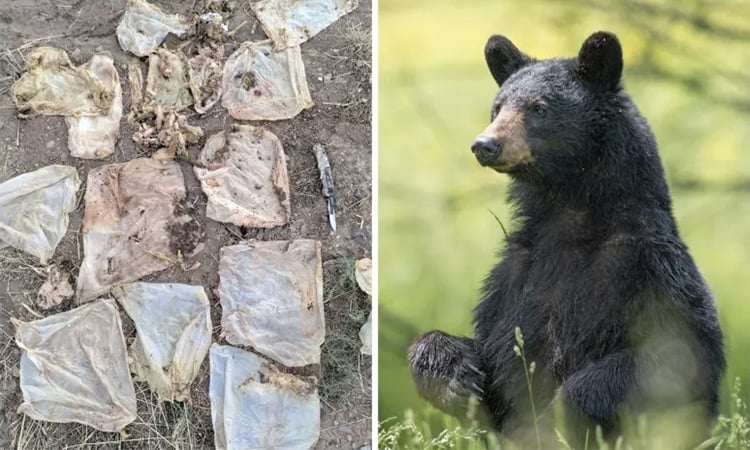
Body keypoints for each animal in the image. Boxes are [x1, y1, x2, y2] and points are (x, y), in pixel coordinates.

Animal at [412, 31, 728, 446]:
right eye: (497, 107)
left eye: (539, 108)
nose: (485, 144)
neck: (570, 219)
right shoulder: (512, 279)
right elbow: (493, 350)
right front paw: (455, 378)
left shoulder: (651, 267)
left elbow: (671, 354)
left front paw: (557, 418)